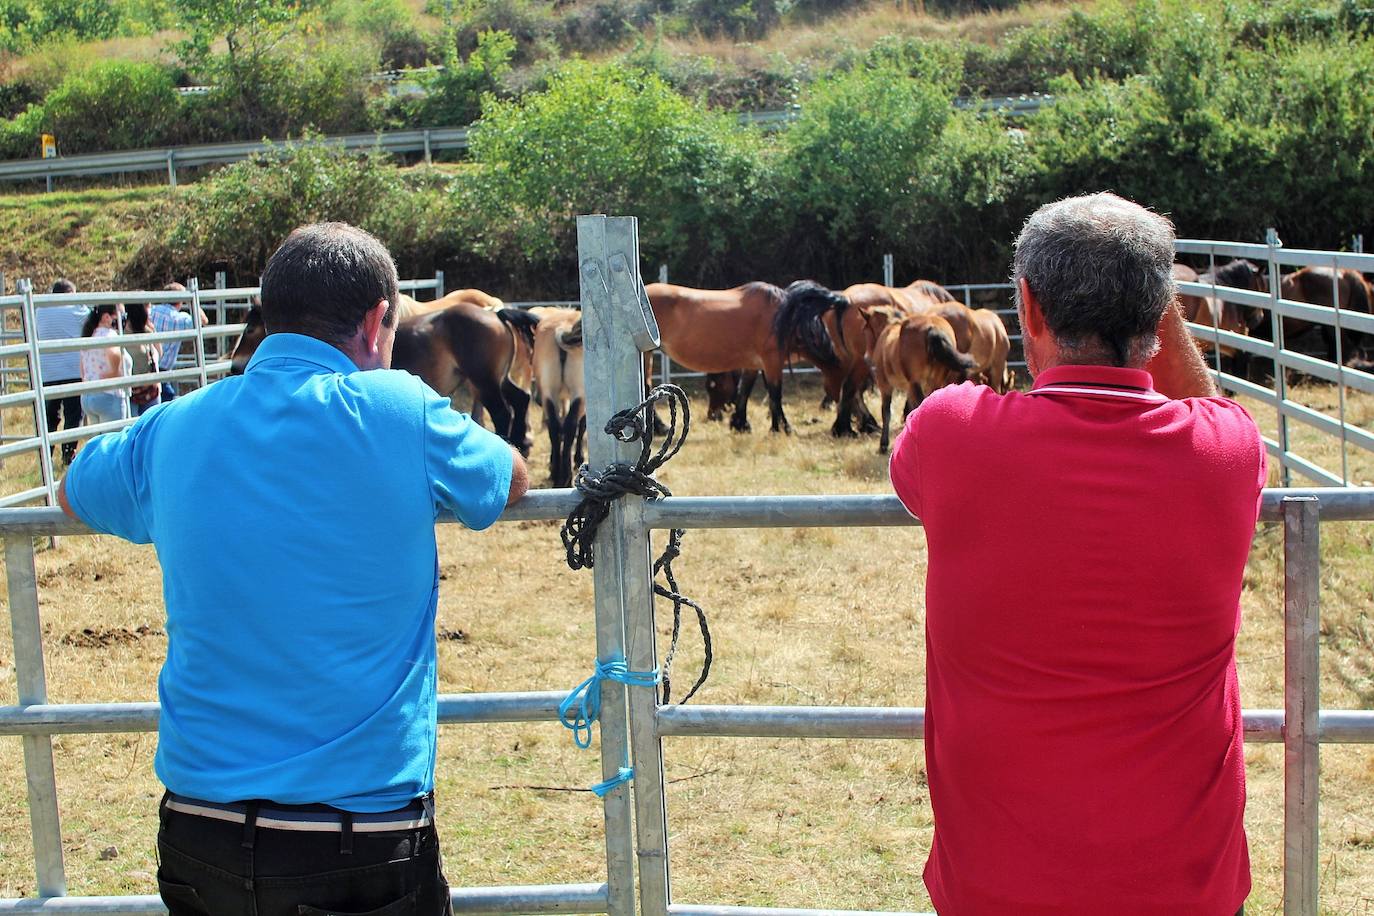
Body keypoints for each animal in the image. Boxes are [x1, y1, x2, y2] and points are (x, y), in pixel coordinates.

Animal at [868, 306, 978, 453]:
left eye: (866, 328)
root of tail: (932, 328)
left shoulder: (885, 384)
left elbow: (886, 411)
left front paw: (883, 444)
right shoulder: (909, 388)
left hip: (916, 381)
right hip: (934, 381)